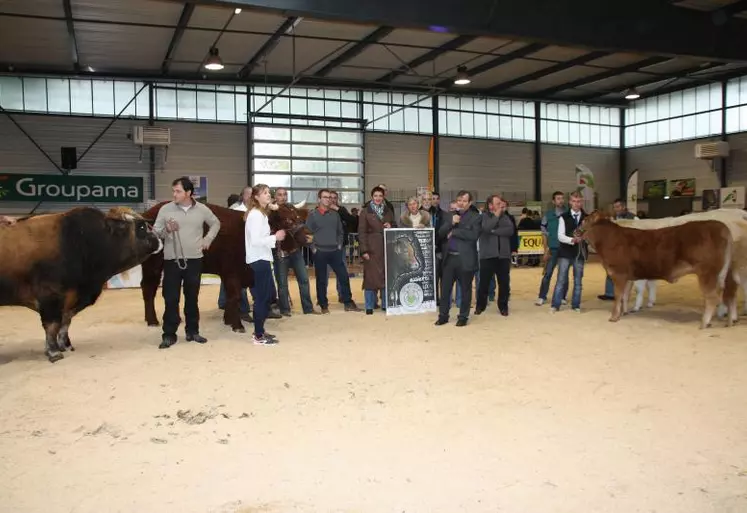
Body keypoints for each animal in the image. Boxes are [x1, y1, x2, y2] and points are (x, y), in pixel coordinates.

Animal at [141, 200, 312, 332]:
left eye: (299, 217)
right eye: (288, 220)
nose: (309, 236)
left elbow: (232, 297)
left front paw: (228, 320)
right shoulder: (232, 272)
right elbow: (235, 296)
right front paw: (237, 325)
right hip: (153, 265)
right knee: (149, 288)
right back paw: (152, 320)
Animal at [580, 211, 736, 328]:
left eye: (584, 221)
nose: (575, 231)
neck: (608, 239)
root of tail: (720, 226)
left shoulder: (618, 274)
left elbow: (618, 296)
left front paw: (613, 317)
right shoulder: (627, 277)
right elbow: (625, 295)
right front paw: (623, 313)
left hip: (707, 273)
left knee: (712, 297)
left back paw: (704, 323)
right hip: (720, 275)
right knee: (725, 294)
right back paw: (727, 320)